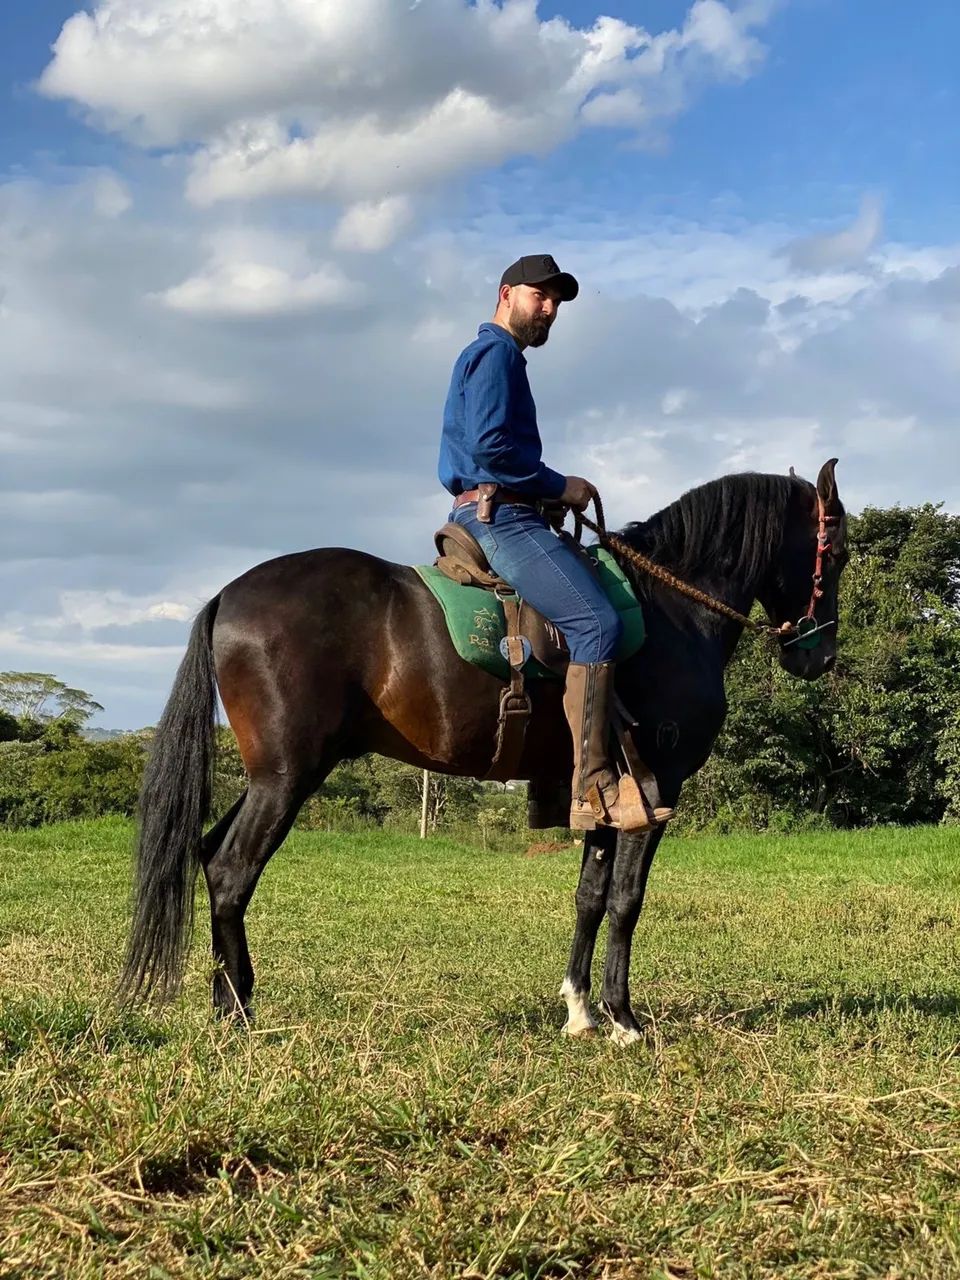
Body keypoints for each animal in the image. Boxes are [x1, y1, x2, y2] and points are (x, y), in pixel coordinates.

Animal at [122, 460, 847, 1043]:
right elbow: (626, 900)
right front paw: (624, 1019)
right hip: (287, 778)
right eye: (835, 552)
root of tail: (228, 595)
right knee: (231, 872)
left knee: (209, 854)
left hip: (272, 775)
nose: (818, 656)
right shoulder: (657, 786)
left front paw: (581, 1010)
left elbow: (590, 896)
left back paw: (229, 1001)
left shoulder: (605, 790)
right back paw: (240, 1015)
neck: (672, 611)